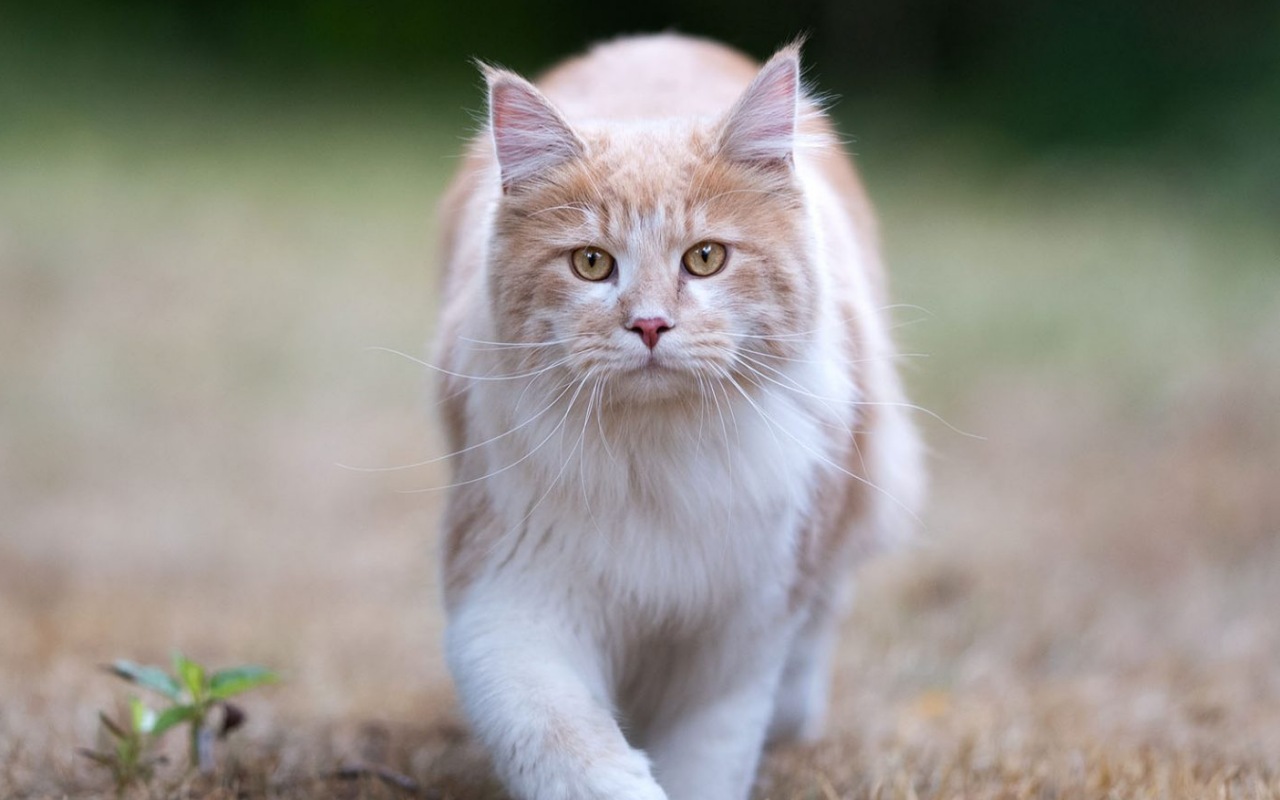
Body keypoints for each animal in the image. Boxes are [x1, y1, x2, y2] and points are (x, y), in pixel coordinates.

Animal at [430, 32, 921, 798]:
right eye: (591, 263)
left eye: (706, 258)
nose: (651, 325)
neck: (656, 457)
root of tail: (661, 40)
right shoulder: (511, 598)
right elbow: (564, 739)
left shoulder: (741, 635)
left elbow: (710, 756)